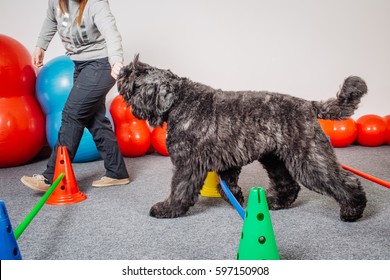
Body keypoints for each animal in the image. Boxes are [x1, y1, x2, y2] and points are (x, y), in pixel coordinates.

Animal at [117, 54, 368, 221]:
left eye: (137, 76)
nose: (123, 71)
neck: (180, 101)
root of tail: (309, 105)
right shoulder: (227, 160)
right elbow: (227, 184)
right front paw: (236, 199)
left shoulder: (188, 163)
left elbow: (180, 188)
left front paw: (168, 209)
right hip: (275, 159)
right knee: (288, 185)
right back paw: (275, 202)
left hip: (310, 159)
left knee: (343, 181)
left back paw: (353, 209)